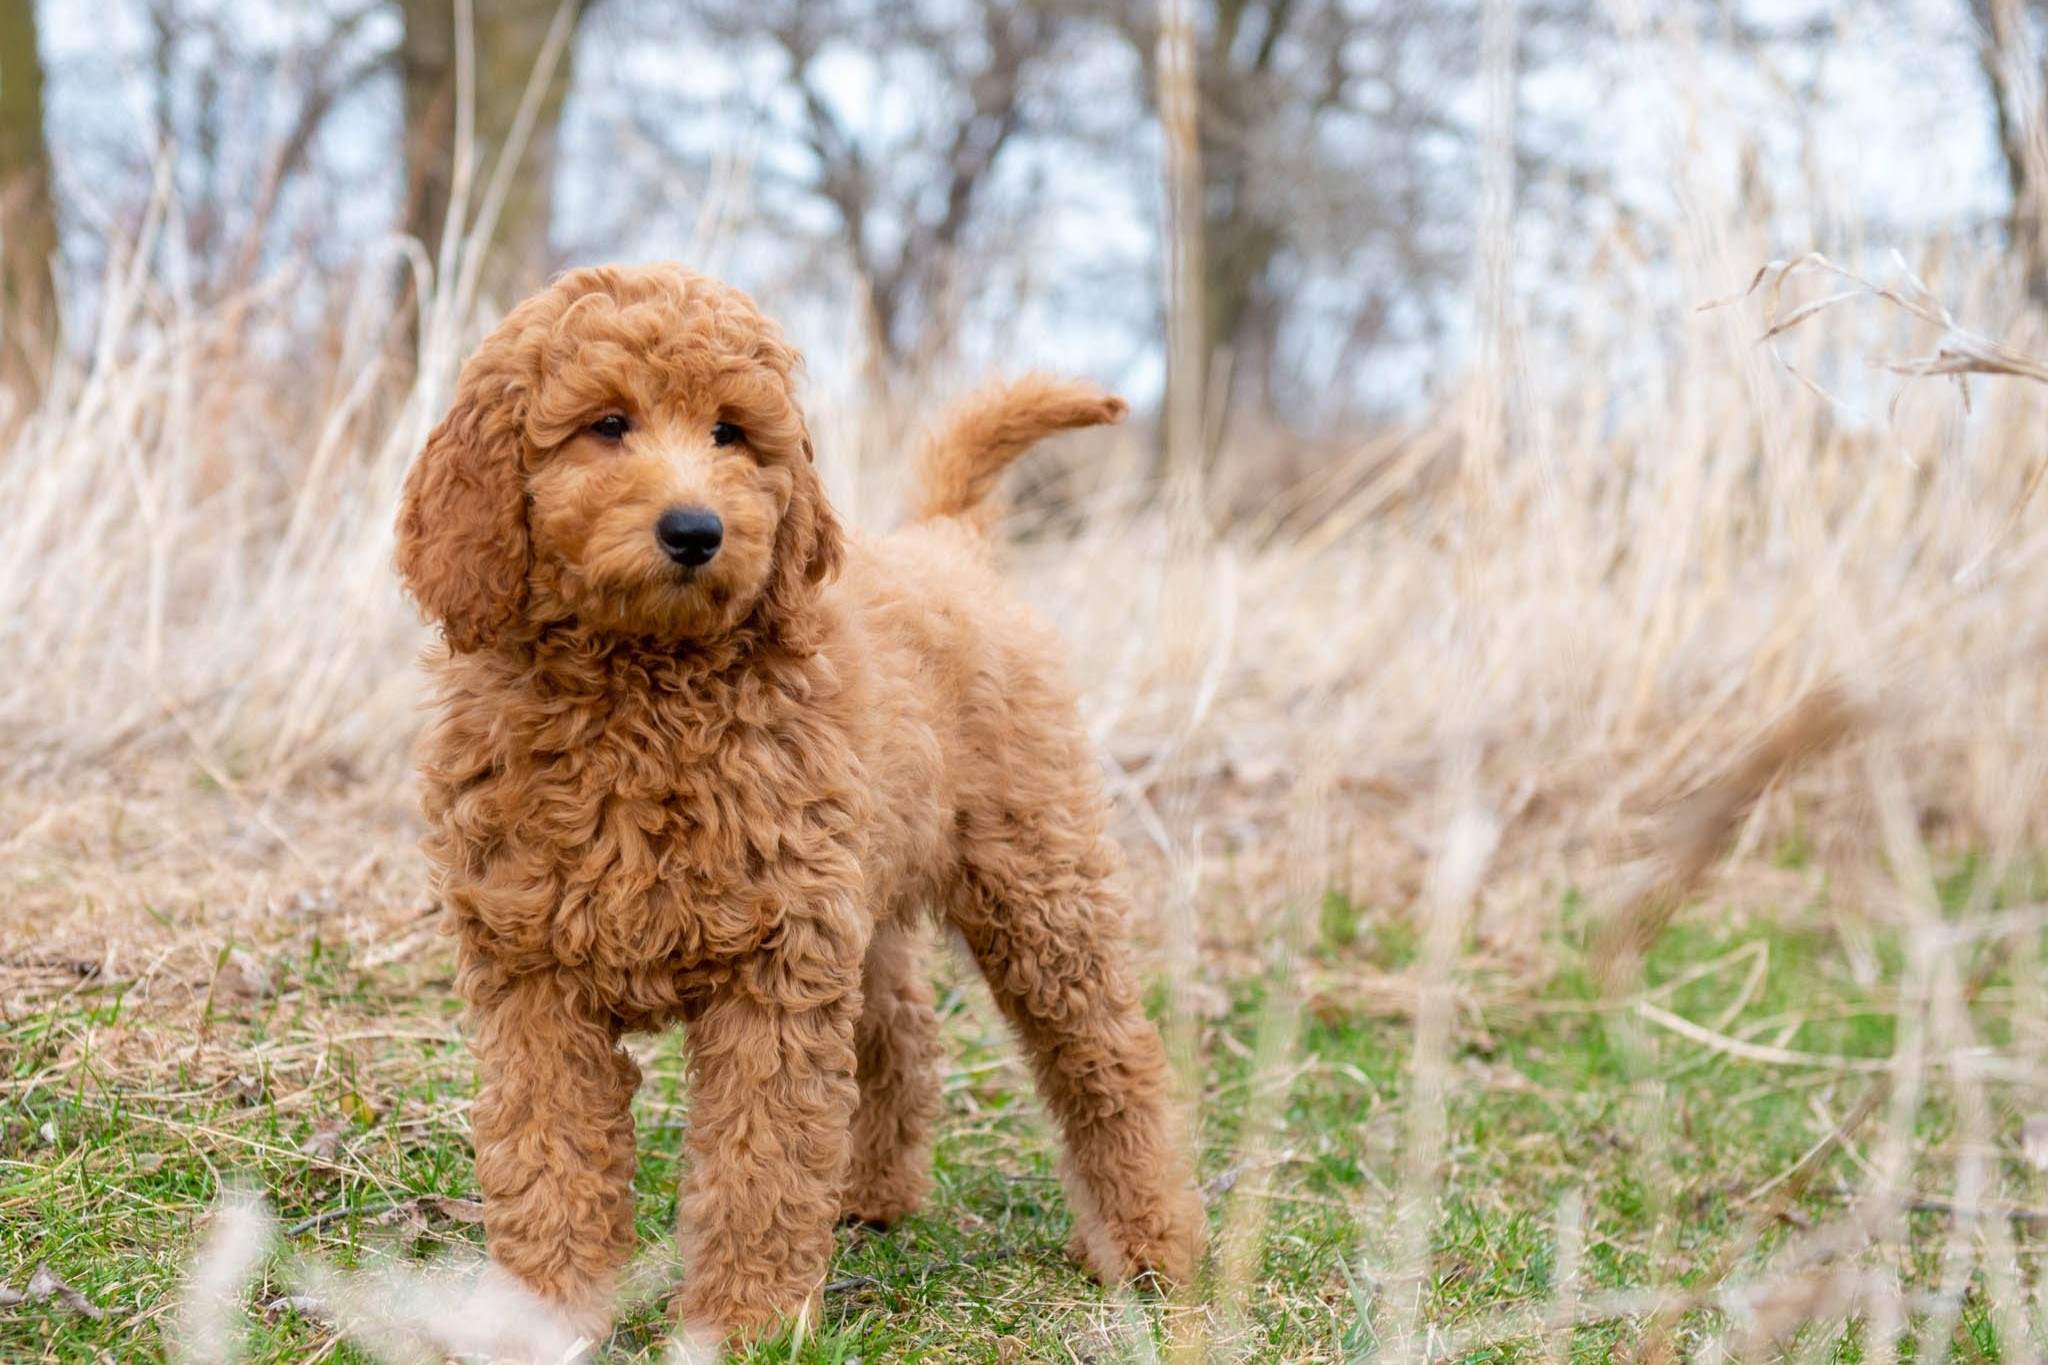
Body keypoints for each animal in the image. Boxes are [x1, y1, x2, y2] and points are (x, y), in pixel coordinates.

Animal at [391, 263, 1204, 1342]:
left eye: (731, 432)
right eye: (606, 424)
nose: (696, 530)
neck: (641, 688)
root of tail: (948, 539)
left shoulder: (771, 970)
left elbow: (760, 1161)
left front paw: (745, 1322)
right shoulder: (534, 974)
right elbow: (546, 1151)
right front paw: (543, 1312)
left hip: (1038, 874)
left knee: (1110, 1055)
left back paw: (1149, 1243)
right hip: (865, 891)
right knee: (900, 1030)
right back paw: (872, 1194)